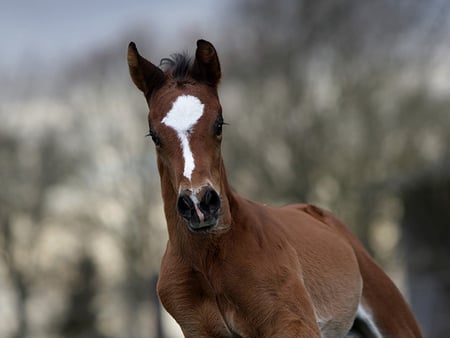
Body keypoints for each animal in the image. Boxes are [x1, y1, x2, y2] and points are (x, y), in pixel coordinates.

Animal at [126, 38, 422, 336]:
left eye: (219, 123)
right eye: (154, 135)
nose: (199, 205)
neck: (210, 260)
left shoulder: (293, 323)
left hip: (396, 320)